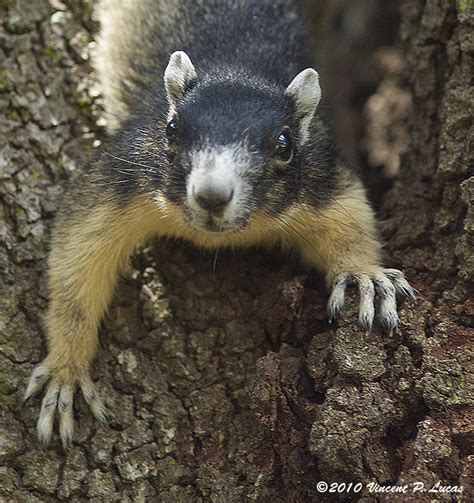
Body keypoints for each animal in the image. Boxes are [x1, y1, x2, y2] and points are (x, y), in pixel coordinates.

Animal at [25, 0, 414, 448]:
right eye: (172, 128)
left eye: (284, 144)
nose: (212, 195)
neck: (238, 68)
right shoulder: (121, 175)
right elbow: (78, 257)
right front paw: (65, 370)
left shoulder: (322, 174)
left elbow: (349, 219)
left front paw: (365, 277)